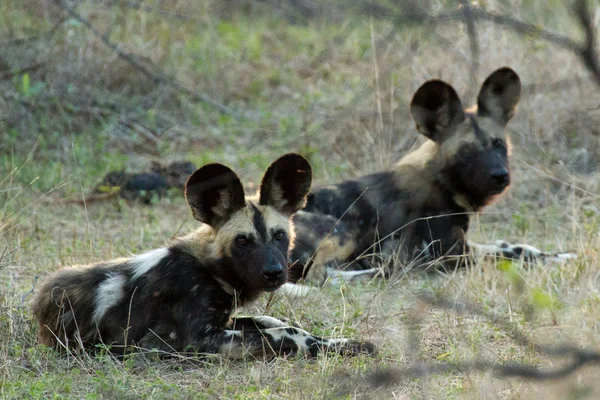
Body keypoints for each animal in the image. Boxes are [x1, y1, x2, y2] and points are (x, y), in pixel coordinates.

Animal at [31, 155, 376, 358]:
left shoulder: (226, 320)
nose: (274, 272)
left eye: (280, 236)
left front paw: (347, 344)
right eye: (242, 241)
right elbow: (283, 334)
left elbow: (279, 323)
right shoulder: (200, 339)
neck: (210, 269)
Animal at [290, 67, 576, 284]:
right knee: (324, 275)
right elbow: (511, 254)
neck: (442, 183)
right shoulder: (453, 253)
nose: (500, 176)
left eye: (498, 145)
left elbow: (515, 246)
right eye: (466, 151)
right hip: (341, 233)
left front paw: (564, 254)